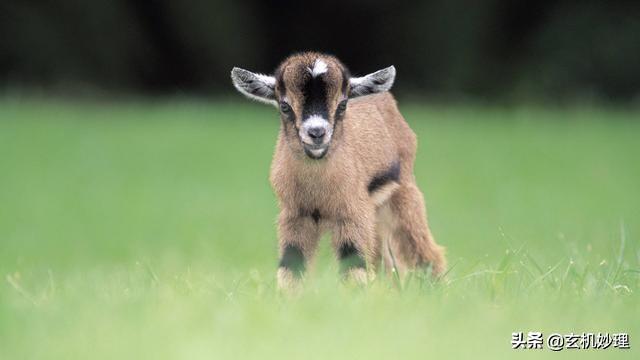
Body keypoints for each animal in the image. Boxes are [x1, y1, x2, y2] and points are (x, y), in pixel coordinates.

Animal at [230, 52, 444, 288]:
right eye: (284, 106)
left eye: (342, 105)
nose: (316, 133)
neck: (317, 191)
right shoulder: (295, 216)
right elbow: (291, 265)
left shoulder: (352, 213)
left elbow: (354, 264)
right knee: (385, 262)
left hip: (402, 194)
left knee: (425, 251)